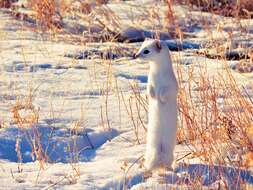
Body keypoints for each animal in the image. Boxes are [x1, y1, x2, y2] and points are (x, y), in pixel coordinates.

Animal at [134, 39, 178, 171]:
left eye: (146, 51)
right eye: (140, 47)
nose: (135, 55)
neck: (159, 77)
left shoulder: (172, 85)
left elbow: (167, 92)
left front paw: (161, 99)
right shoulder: (150, 82)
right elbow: (149, 90)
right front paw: (154, 97)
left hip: (169, 155)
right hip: (149, 152)